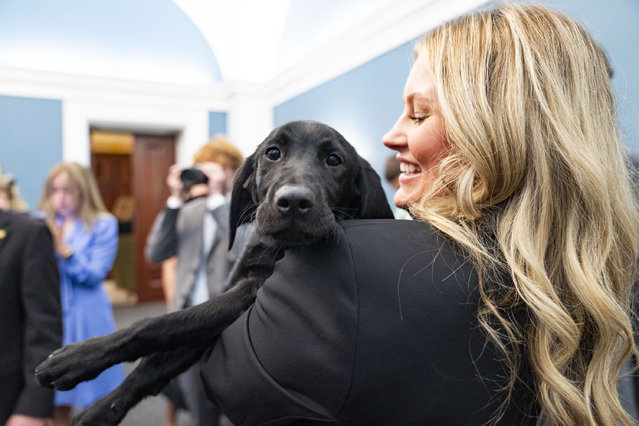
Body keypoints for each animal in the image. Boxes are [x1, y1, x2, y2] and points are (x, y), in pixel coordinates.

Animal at [37, 119, 396, 422]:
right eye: (273, 153)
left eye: (334, 160)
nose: (293, 201)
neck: (275, 247)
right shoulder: (215, 317)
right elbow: (156, 361)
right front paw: (100, 411)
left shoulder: (247, 295)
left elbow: (157, 324)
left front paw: (77, 357)